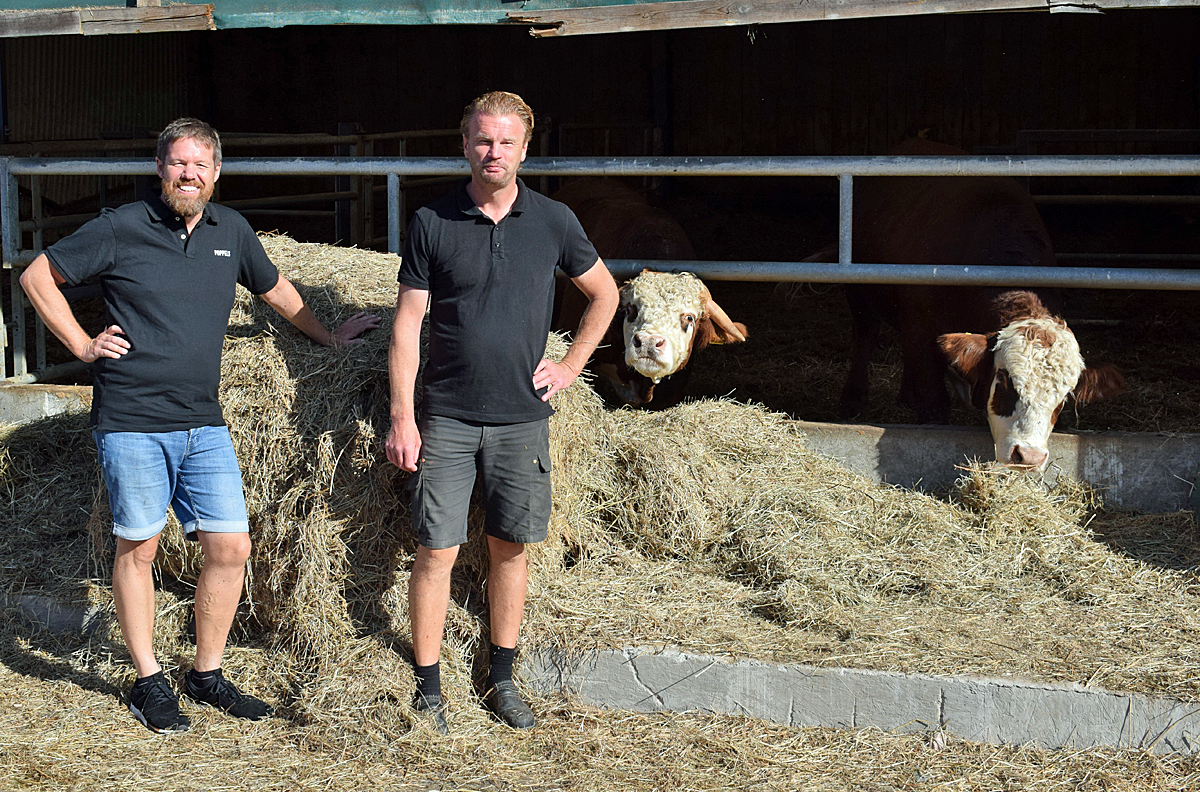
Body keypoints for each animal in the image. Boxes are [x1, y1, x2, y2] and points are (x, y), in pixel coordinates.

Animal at [838, 138, 1122, 469]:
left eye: (1064, 398)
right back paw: (853, 399)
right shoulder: (920, 327)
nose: (1028, 456)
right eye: (1005, 380)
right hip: (859, 294)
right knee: (865, 335)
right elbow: (934, 405)